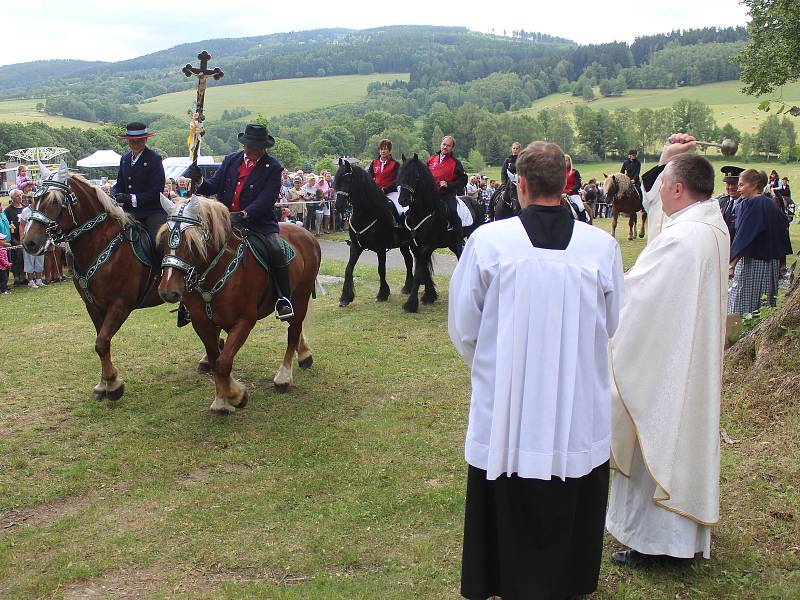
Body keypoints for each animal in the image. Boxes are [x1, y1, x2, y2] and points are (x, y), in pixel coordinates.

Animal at [21, 164, 205, 400]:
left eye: (54, 201)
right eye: (34, 198)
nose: (30, 243)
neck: (100, 243)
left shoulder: (119, 305)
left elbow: (101, 343)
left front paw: (113, 385)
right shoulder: (93, 305)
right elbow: (101, 341)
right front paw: (104, 383)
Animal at [159, 195, 322, 414]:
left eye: (192, 242)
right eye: (163, 239)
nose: (168, 291)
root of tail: (307, 234)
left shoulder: (244, 321)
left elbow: (223, 363)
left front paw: (236, 396)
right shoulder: (202, 323)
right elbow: (215, 360)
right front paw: (222, 399)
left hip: (301, 296)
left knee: (293, 331)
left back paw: (284, 377)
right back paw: (304, 355)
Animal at [334, 159, 416, 308]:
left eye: (348, 180)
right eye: (336, 180)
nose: (339, 206)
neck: (367, 213)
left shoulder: (380, 248)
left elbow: (381, 269)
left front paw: (383, 294)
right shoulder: (356, 246)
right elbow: (348, 269)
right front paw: (345, 298)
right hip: (403, 245)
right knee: (408, 261)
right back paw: (407, 287)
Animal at [396, 154, 466, 314]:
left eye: (416, 176)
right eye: (400, 174)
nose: (403, 200)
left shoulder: (427, 246)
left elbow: (419, 274)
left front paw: (410, 304)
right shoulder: (416, 247)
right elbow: (423, 270)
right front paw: (429, 295)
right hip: (453, 244)